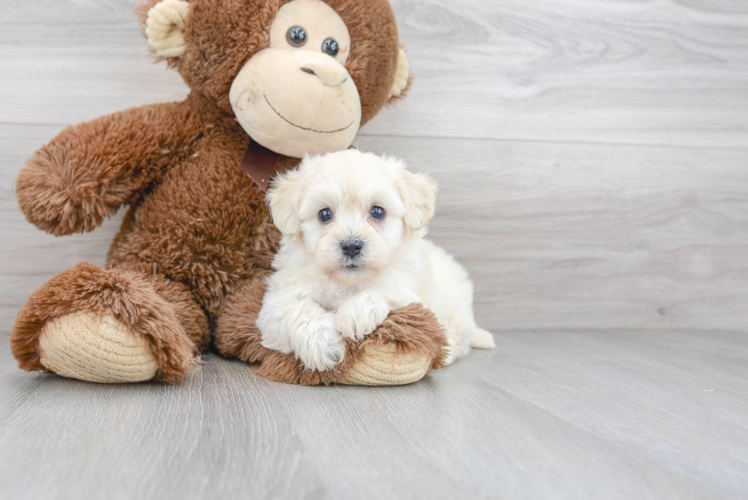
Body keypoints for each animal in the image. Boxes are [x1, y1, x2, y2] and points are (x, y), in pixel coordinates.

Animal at [258, 148, 496, 372]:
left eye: (378, 212)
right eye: (324, 214)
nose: (351, 246)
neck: (348, 284)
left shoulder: (411, 294)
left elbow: (382, 290)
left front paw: (355, 313)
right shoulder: (276, 304)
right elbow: (299, 308)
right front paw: (322, 343)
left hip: (455, 303)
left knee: (458, 338)